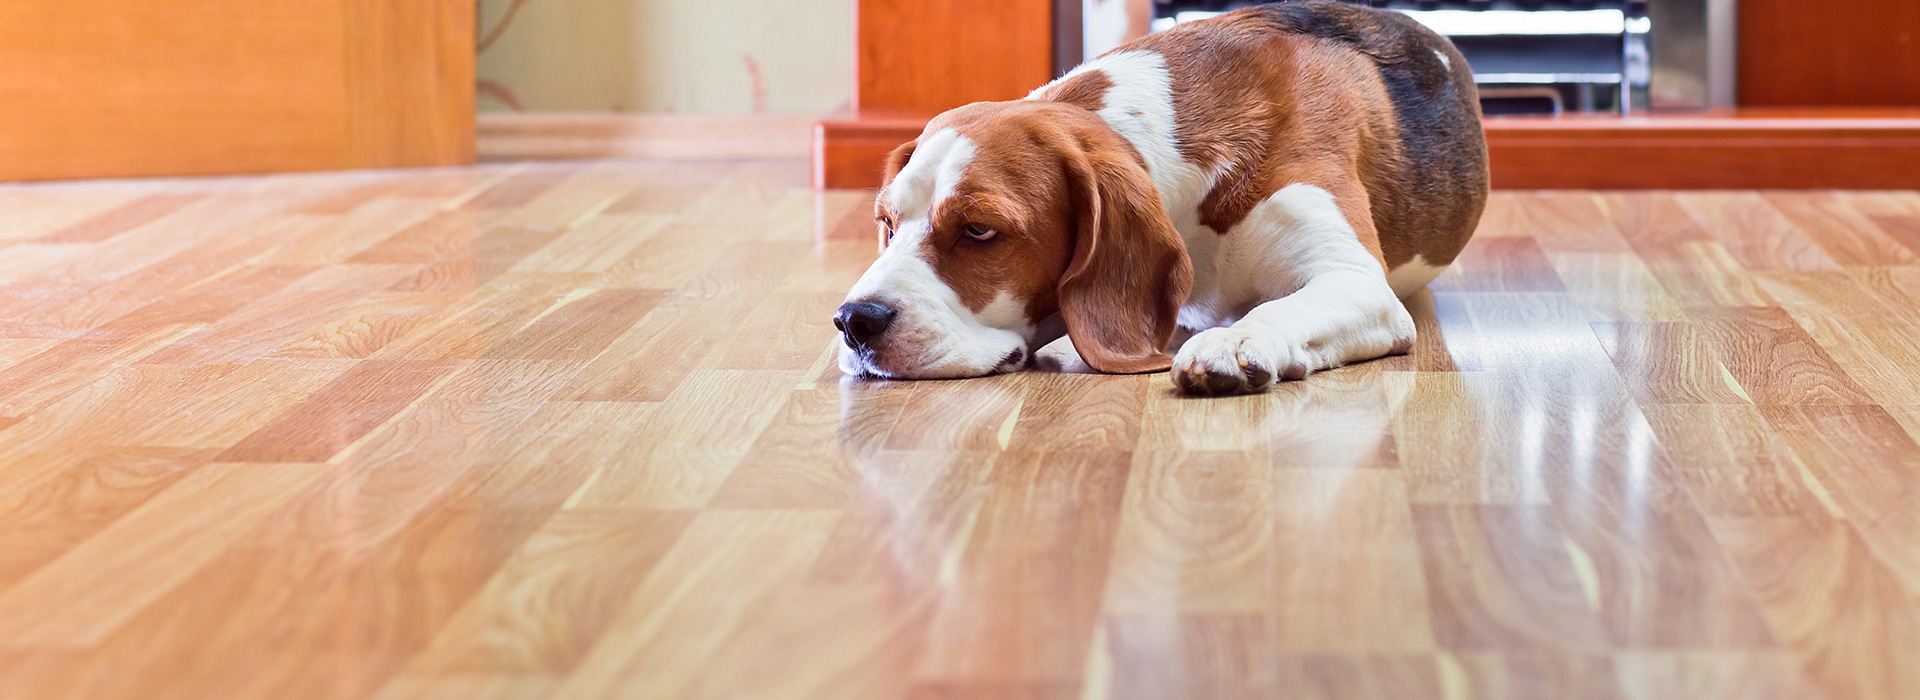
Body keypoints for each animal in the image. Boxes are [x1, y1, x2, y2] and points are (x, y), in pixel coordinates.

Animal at [834, 0, 1488, 395]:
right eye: (887, 222)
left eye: (978, 230)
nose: (853, 321)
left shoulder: (1356, 282)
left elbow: (1283, 307)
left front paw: (1236, 340)